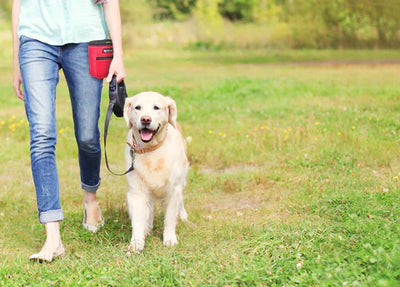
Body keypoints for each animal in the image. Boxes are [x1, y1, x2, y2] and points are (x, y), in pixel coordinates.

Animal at [123, 92, 189, 254]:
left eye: (156, 107)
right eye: (137, 107)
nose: (145, 119)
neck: (151, 151)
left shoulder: (174, 189)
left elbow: (170, 218)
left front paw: (170, 239)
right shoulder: (136, 191)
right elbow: (138, 220)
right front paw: (136, 243)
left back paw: (183, 215)